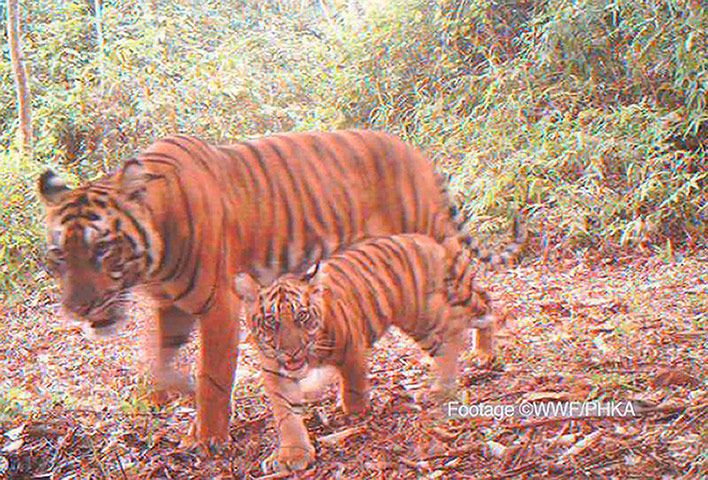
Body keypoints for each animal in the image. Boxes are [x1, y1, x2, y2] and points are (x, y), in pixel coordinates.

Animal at [38, 130, 479, 444]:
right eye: (59, 254)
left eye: (101, 248)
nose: (77, 307)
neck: (152, 260)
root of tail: (411, 149)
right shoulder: (171, 306)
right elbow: (159, 357)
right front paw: (162, 397)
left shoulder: (218, 304)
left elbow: (213, 374)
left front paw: (206, 438)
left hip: (434, 239)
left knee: (478, 297)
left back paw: (484, 357)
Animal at [234, 231, 525, 473]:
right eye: (271, 322)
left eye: (302, 317)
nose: (292, 352)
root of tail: (428, 236)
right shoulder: (276, 372)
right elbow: (287, 416)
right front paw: (291, 455)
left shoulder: (350, 345)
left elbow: (352, 383)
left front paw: (353, 412)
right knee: (476, 308)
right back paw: (474, 357)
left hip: (421, 314)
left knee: (457, 329)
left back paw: (446, 383)